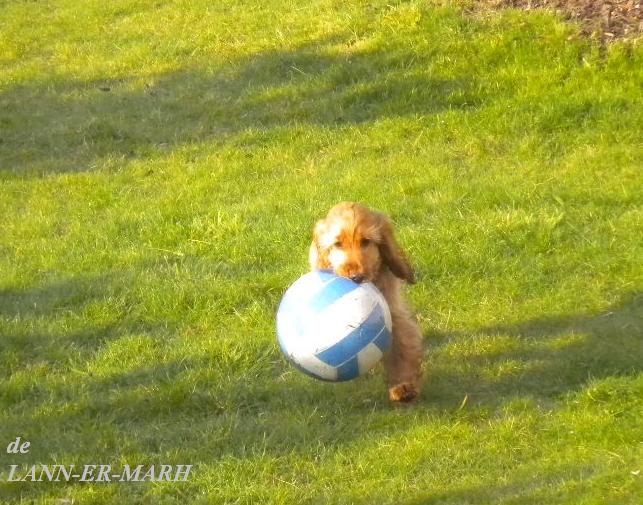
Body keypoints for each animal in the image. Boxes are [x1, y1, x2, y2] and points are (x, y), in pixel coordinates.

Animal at [310, 201, 426, 402]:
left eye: (366, 241)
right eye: (337, 244)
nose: (356, 277)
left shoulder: (391, 312)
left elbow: (401, 346)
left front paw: (403, 385)